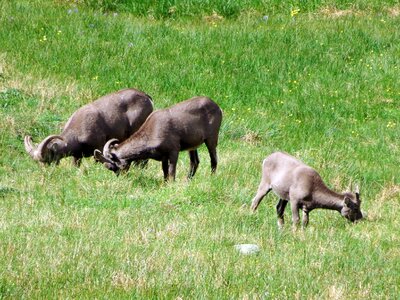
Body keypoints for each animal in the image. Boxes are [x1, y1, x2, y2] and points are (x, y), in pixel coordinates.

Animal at [95, 96, 223, 180]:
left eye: (115, 167)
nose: (122, 179)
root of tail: (217, 107)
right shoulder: (164, 158)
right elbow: (165, 173)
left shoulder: (173, 152)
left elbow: (171, 173)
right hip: (192, 148)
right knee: (195, 162)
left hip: (211, 140)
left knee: (213, 160)